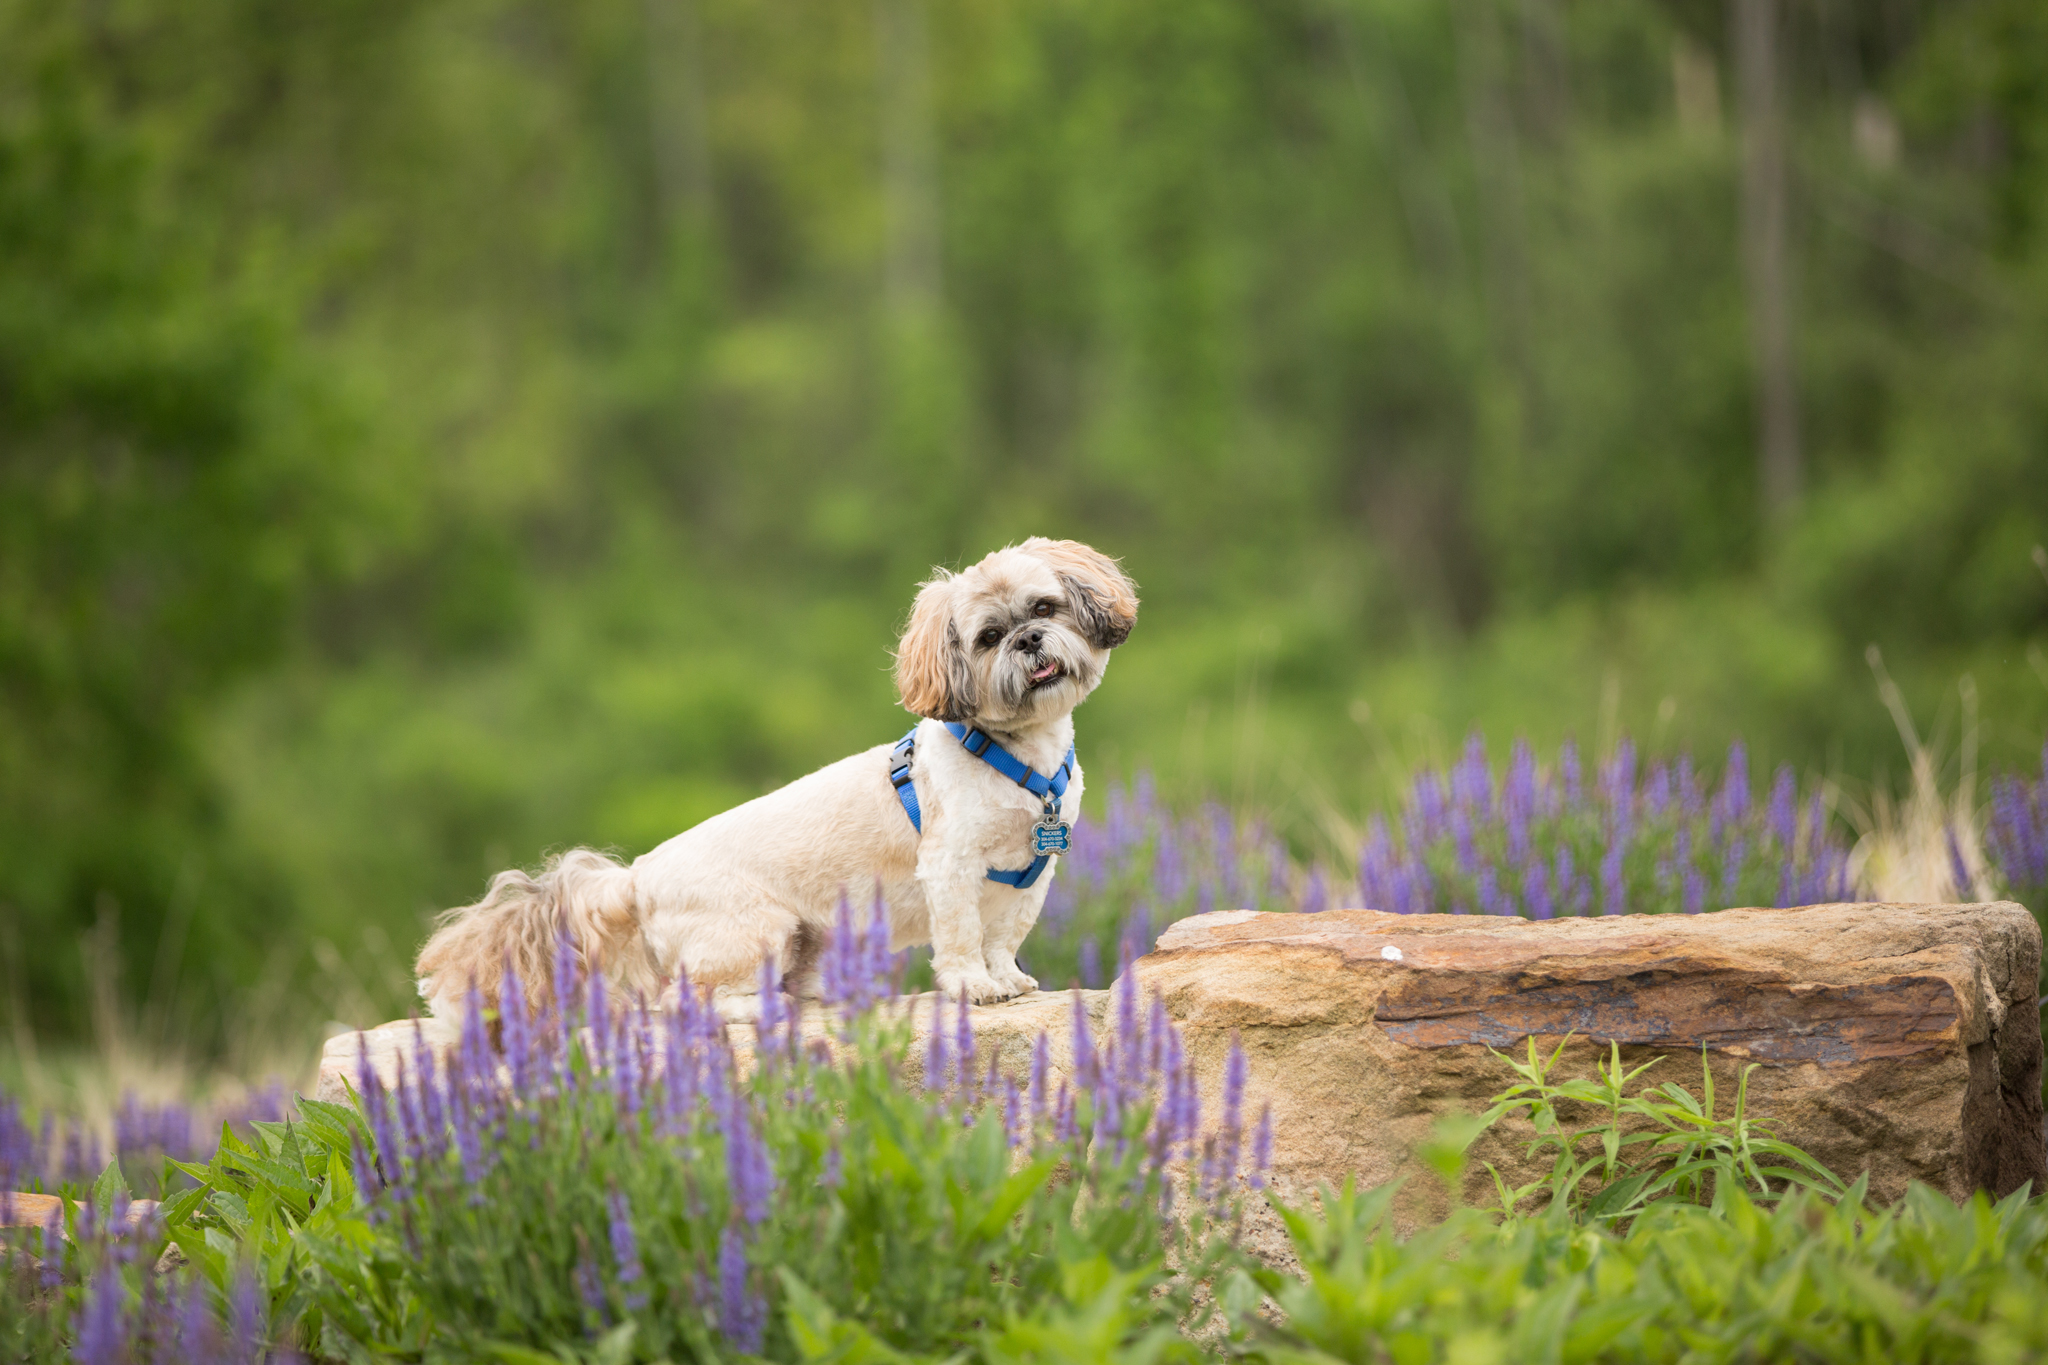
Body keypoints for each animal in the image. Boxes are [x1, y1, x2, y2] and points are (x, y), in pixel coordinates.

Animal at [413, 540, 1138, 1019]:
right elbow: (962, 935)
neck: (1014, 754)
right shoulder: (952, 867)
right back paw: (759, 1008)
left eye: (1044, 607)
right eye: (988, 637)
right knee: (690, 999)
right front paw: (974, 985)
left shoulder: (1031, 873)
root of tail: (637, 876)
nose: (1028, 640)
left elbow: (1002, 935)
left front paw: (1005, 975)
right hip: (751, 931)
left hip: (805, 934)